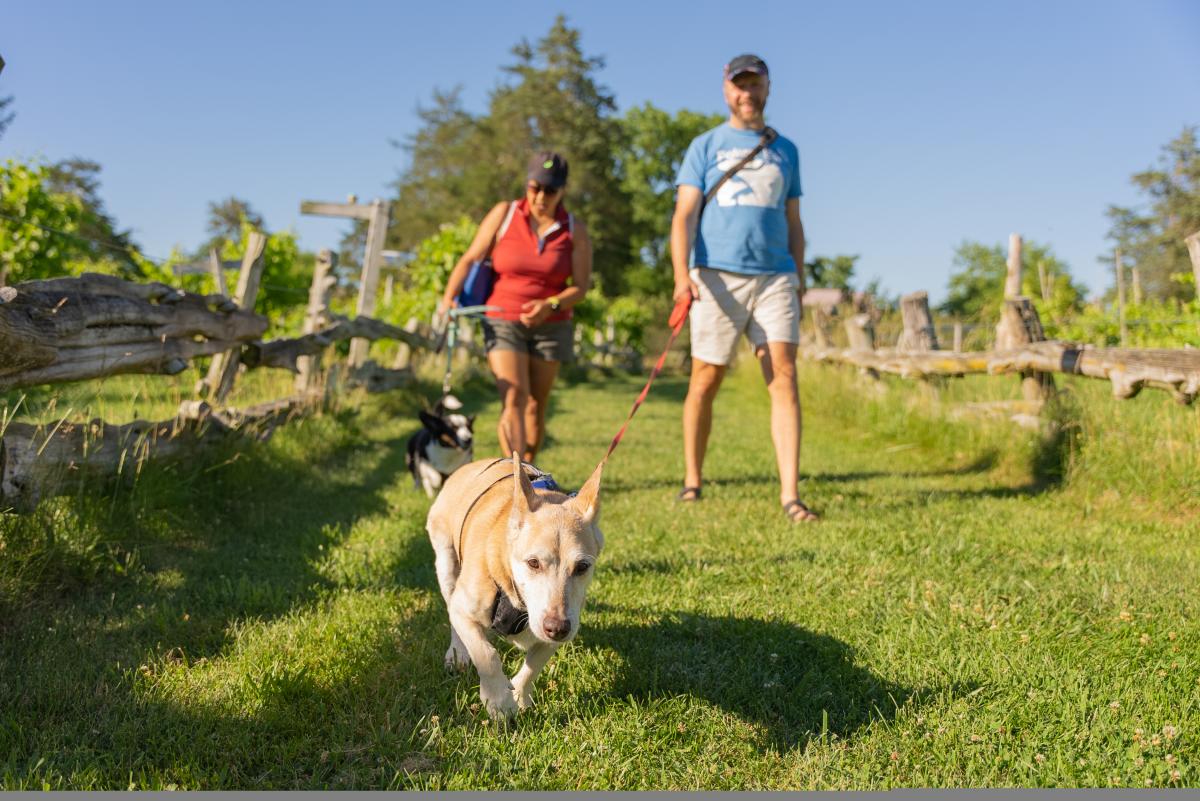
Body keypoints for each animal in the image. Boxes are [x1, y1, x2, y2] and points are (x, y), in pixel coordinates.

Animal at [427, 450, 604, 719]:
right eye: (533, 563)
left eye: (582, 567)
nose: (557, 628)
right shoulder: (464, 608)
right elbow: (486, 653)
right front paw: (499, 701)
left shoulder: (559, 625)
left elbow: (534, 664)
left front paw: (519, 696)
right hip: (445, 559)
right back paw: (457, 654)